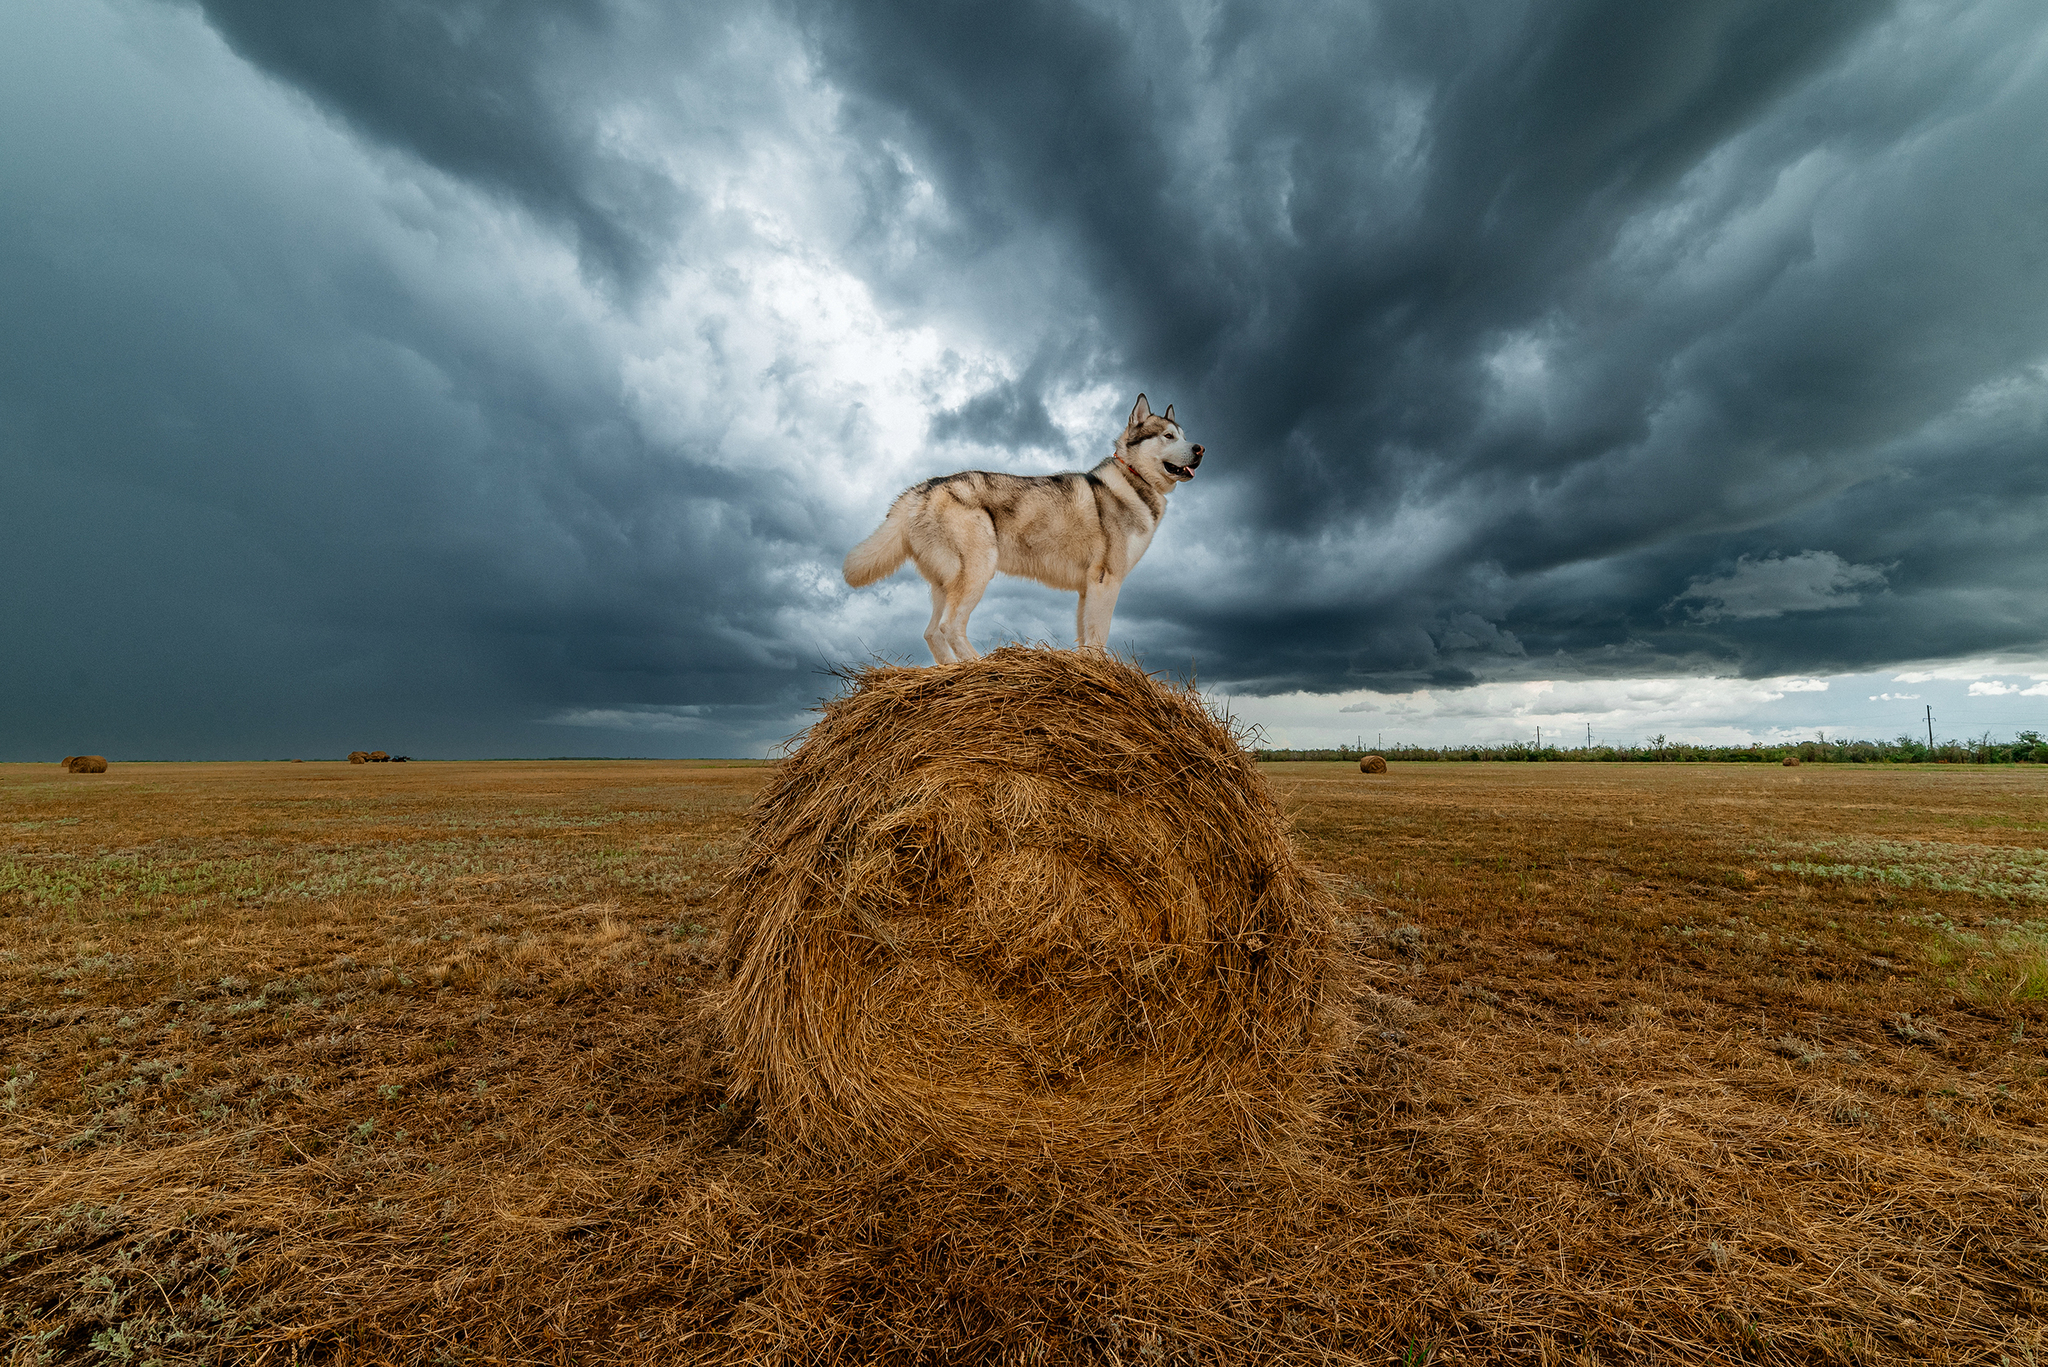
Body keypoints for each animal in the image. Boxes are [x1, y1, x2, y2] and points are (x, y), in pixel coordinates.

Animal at [843, 393, 1196, 664]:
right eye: (1168, 436)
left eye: (1184, 435)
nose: (1200, 449)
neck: (1134, 480)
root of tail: (922, 488)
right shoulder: (1106, 581)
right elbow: (1099, 638)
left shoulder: (1087, 589)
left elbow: (1085, 638)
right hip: (978, 571)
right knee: (949, 627)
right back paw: (979, 665)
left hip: (947, 582)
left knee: (931, 632)